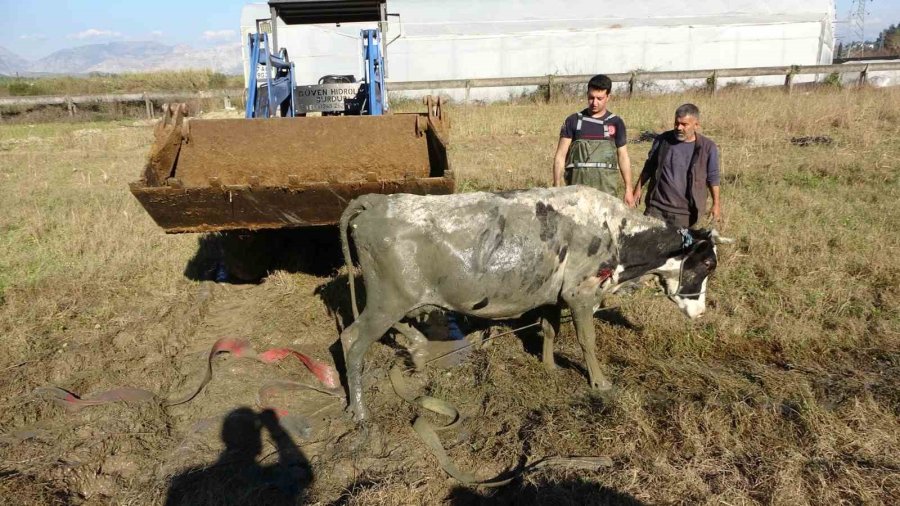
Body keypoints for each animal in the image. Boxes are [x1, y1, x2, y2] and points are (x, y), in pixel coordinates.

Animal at [342, 185, 728, 420]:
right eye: (709, 263)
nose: (701, 312)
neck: (615, 232)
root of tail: (377, 201)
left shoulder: (553, 296)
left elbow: (550, 329)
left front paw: (549, 366)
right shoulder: (580, 294)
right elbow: (587, 340)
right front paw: (600, 383)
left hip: (395, 300)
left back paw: (417, 348)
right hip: (388, 300)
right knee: (352, 341)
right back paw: (359, 410)